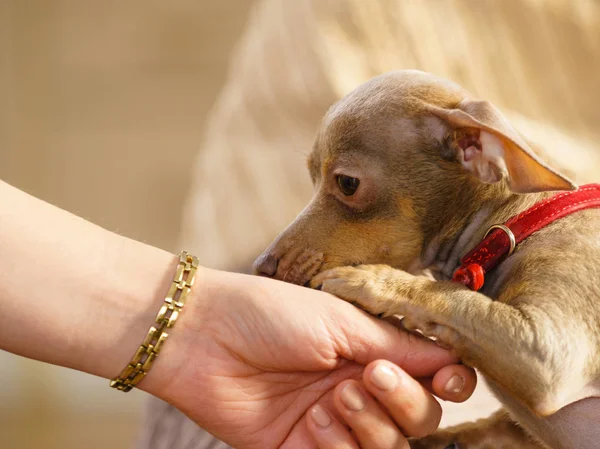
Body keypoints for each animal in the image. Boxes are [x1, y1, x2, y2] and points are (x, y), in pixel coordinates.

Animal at [254, 71, 600, 448]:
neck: (518, 221)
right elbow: (474, 429)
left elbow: (453, 298)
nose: (260, 267)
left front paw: (367, 280)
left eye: (347, 183)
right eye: (312, 178)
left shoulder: (548, 353)